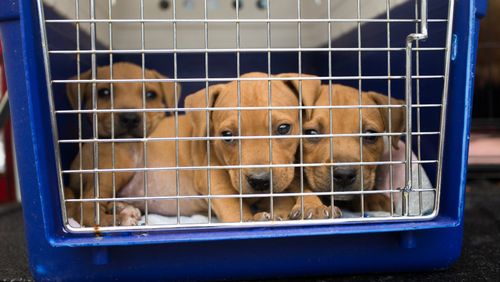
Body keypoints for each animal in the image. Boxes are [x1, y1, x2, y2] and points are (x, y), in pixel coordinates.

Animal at [290, 83, 406, 218]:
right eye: (311, 133)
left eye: (370, 135)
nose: (344, 175)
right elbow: (302, 188)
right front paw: (314, 206)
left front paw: (373, 198)